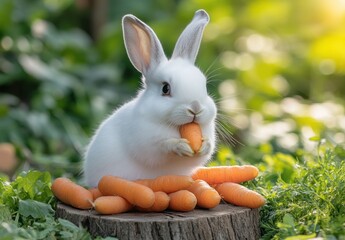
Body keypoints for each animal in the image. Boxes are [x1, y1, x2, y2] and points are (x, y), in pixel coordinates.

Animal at [83, 9, 216, 188]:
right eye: (165, 88)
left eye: (205, 86)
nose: (195, 108)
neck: (176, 127)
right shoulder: (146, 142)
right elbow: (162, 146)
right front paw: (180, 146)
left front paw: (205, 145)